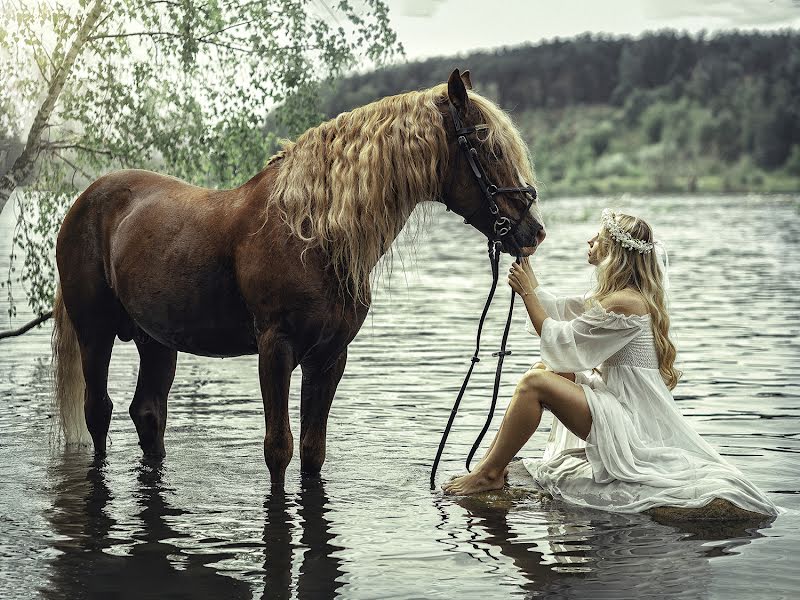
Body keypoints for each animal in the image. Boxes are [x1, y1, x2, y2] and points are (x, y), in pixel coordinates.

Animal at [50, 69, 548, 482]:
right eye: (487, 145)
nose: (533, 231)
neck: (311, 232)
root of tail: (85, 199)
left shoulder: (329, 356)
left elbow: (312, 451)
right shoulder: (275, 349)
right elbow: (279, 449)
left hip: (157, 340)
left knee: (148, 414)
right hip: (95, 333)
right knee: (98, 411)